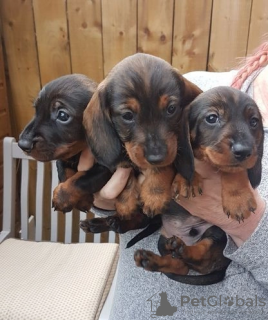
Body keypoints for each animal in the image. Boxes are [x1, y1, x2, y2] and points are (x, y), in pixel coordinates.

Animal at [18, 74, 112, 212]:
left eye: (62, 115)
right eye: (36, 109)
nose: (22, 144)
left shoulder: (107, 167)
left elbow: (82, 179)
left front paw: (62, 198)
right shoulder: (62, 157)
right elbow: (66, 174)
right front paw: (83, 200)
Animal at [82, 53, 202, 221]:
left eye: (171, 108)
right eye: (127, 115)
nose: (156, 157)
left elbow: (164, 166)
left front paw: (155, 194)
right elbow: (126, 167)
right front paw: (125, 202)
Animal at [172, 86, 264, 221]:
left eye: (253, 121)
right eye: (212, 118)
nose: (243, 151)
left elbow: (234, 171)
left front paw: (238, 198)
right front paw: (187, 179)